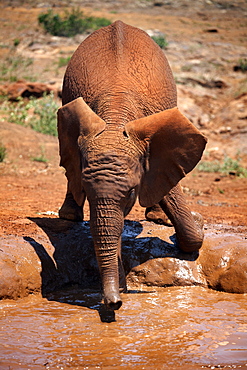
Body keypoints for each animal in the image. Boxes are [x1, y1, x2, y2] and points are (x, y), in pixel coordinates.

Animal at [58, 19, 206, 310]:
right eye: (89, 193)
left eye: (130, 194)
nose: (114, 302)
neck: (115, 119)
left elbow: (175, 199)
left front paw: (195, 224)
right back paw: (68, 217)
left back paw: (159, 218)